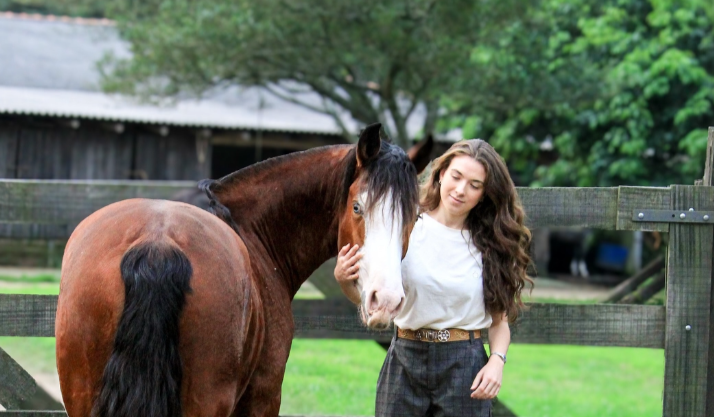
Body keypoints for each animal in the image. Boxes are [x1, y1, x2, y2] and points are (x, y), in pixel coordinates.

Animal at [55, 122, 434, 417]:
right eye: (357, 207)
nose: (385, 301)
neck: (251, 229)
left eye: (414, 215)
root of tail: (157, 241)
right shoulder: (264, 395)